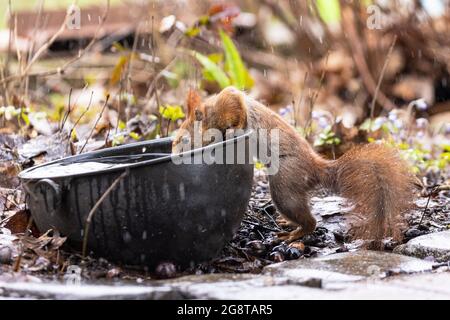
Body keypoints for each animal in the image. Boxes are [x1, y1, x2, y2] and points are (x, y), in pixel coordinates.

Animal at [171, 86, 414, 246]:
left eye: (182, 139)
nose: (173, 157)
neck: (211, 117)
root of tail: (315, 168)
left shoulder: (230, 100)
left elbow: (239, 111)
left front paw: (235, 129)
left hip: (284, 183)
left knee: (310, 222)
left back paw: (294, 234)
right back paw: (289, 226)